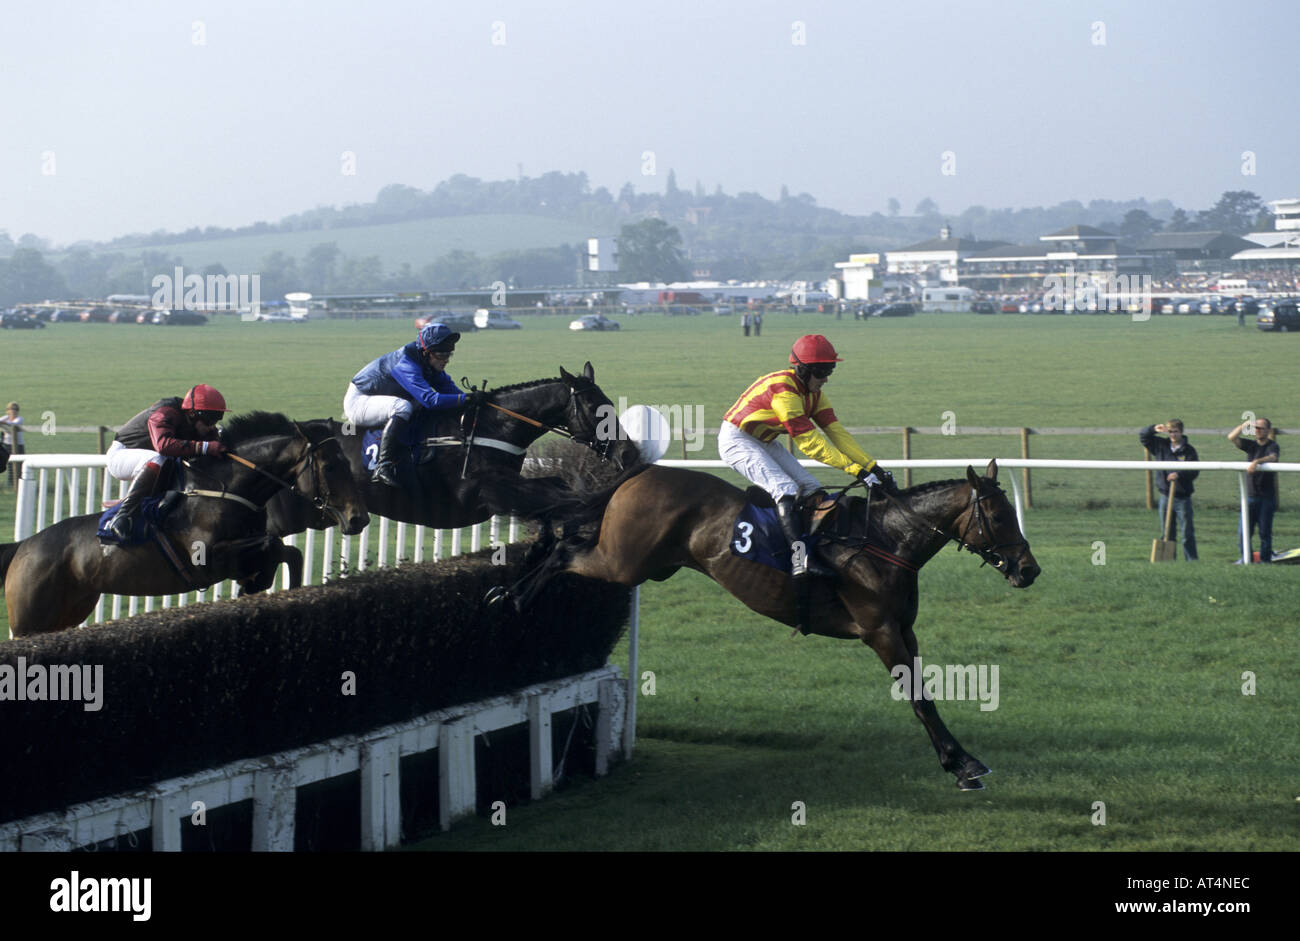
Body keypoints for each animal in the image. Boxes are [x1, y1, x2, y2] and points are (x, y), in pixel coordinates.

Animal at [2, 408, 369, 636]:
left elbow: (290, 553)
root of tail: (24, 546)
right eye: (331, 466)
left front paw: (268, 587)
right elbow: (274, 543)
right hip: (29, 620)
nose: (359, 518)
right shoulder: (207, 560)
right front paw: (258, 581)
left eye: (346, 462)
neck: (226, 488)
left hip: (70, 610)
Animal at [267, 363, 644, 543]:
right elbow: (560, 497)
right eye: (596, 409)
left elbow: (559, 488)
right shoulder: (482, 492)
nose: (628, 453)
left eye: (610, 405)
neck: (490, 429)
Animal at [491, 454, 1040, 785]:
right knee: (565, 549)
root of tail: (642, 473)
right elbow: (921, 701)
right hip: (623, 561)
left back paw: (511, 589)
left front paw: (959, 758)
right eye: (998, 516)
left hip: (648, 563)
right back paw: (514, 596)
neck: (885, 541)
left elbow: (925, 696)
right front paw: (962, 765)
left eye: (1013, 513)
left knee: (565, 539)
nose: (1029, 570)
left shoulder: (905, 629)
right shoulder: (881, 632)